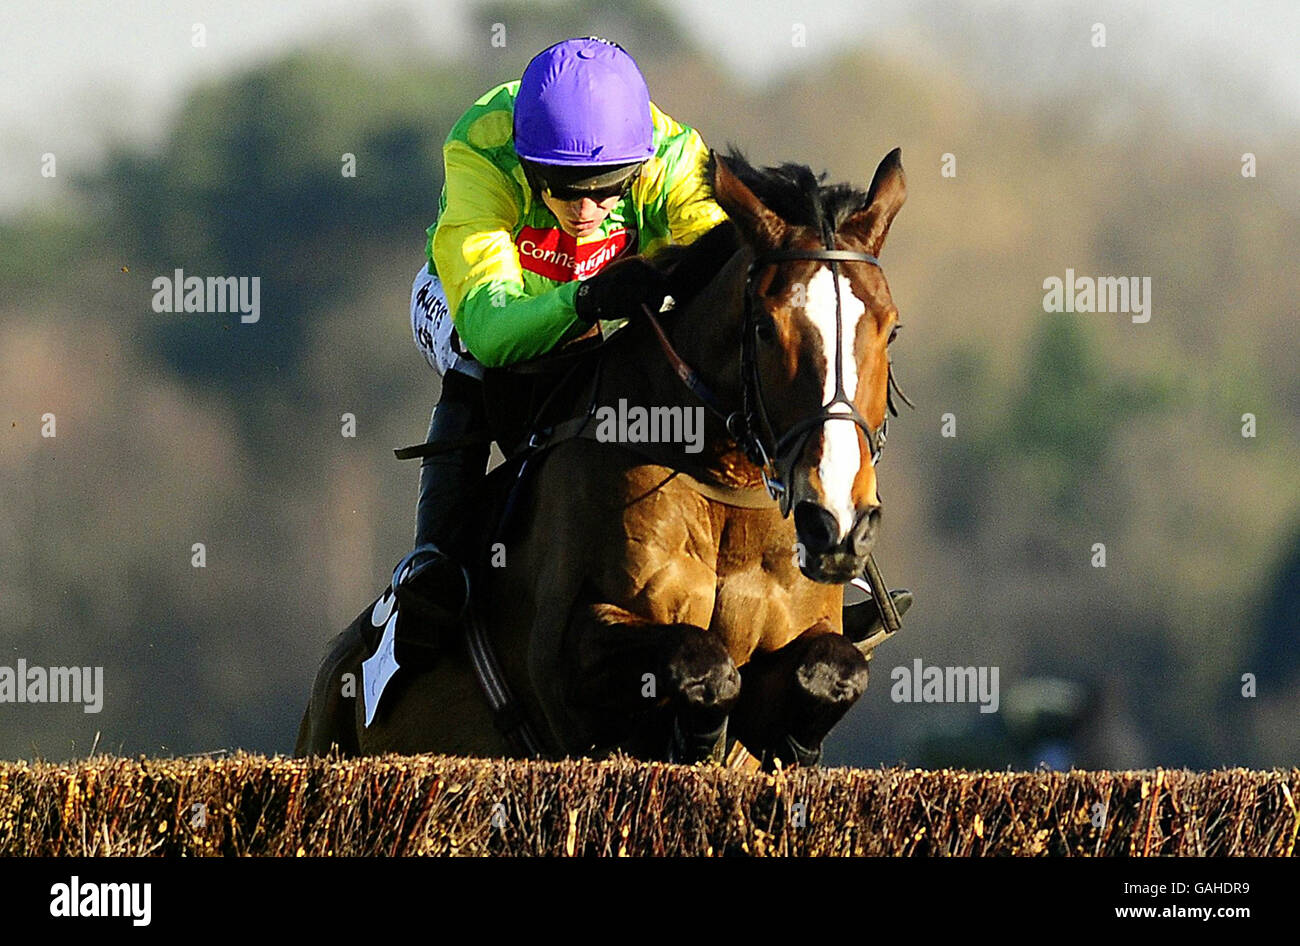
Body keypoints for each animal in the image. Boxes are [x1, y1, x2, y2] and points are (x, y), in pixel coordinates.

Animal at [297, 146, 909, 769]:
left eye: (890, 329)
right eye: (765, 327)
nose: (836, 523)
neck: (720, 486)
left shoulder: (808, 634)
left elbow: (832, 669)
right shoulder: (566, 665)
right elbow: (701, 661)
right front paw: (694, 738)